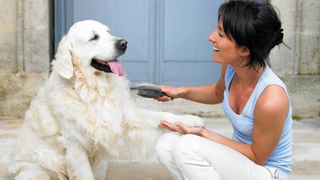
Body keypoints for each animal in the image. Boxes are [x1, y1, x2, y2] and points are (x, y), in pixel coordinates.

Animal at [0, 20, 204, 179]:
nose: (124, 43)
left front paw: (191, 120)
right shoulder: (75, 147)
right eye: (94, 37)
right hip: (39, 166)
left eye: (108, 32)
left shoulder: (126, 116)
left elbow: (162, 115)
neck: (93, 89)